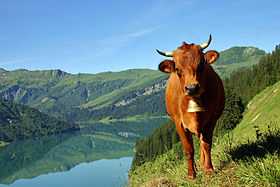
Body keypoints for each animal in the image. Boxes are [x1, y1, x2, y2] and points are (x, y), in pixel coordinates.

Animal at [156, 35, 224, 180]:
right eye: (177, 69)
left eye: (202, 64)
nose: (192, 88)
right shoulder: (179, 123)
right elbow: (188, 149)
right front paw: (191, 174)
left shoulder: (211, 120)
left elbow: (206, 144)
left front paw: (209, 169)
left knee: (202, 143)